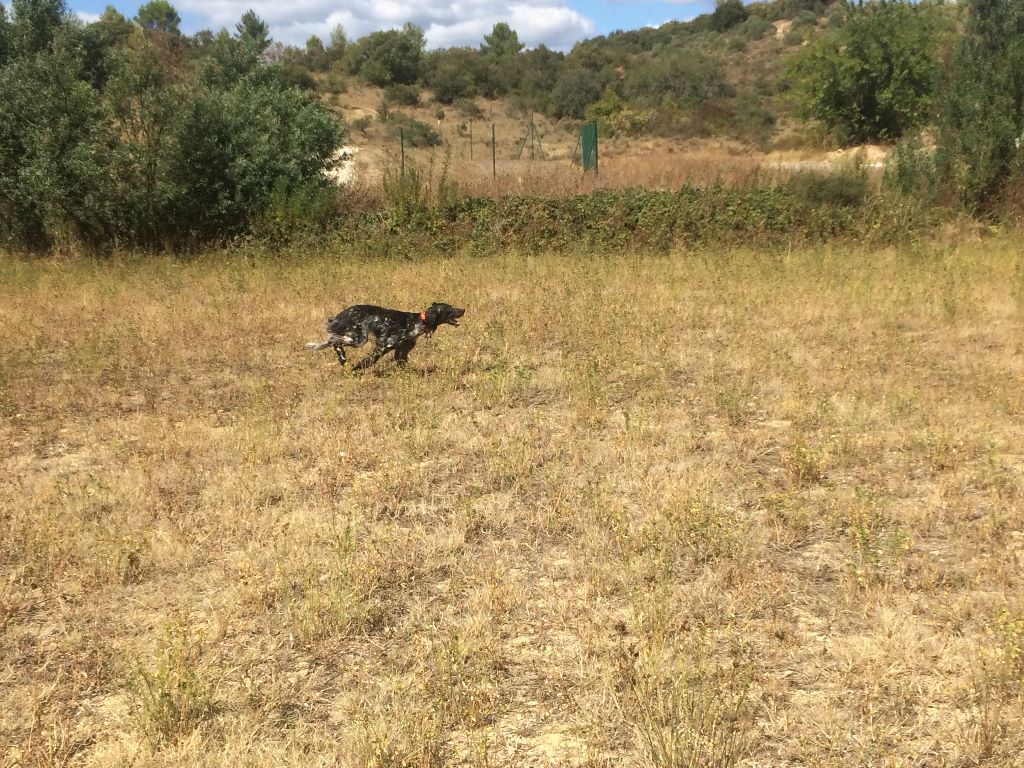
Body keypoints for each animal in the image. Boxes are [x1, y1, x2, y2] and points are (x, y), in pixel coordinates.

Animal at [303, 303, 464, 370]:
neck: (419, 322)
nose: (463, 310)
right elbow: (369, 361)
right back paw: (343, 358)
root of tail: (344, 312)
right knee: (335, 341)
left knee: (334, 341)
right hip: (359, 338)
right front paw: (356, 368)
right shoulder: (383, 345)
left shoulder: (401, 352)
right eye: (449, 309)